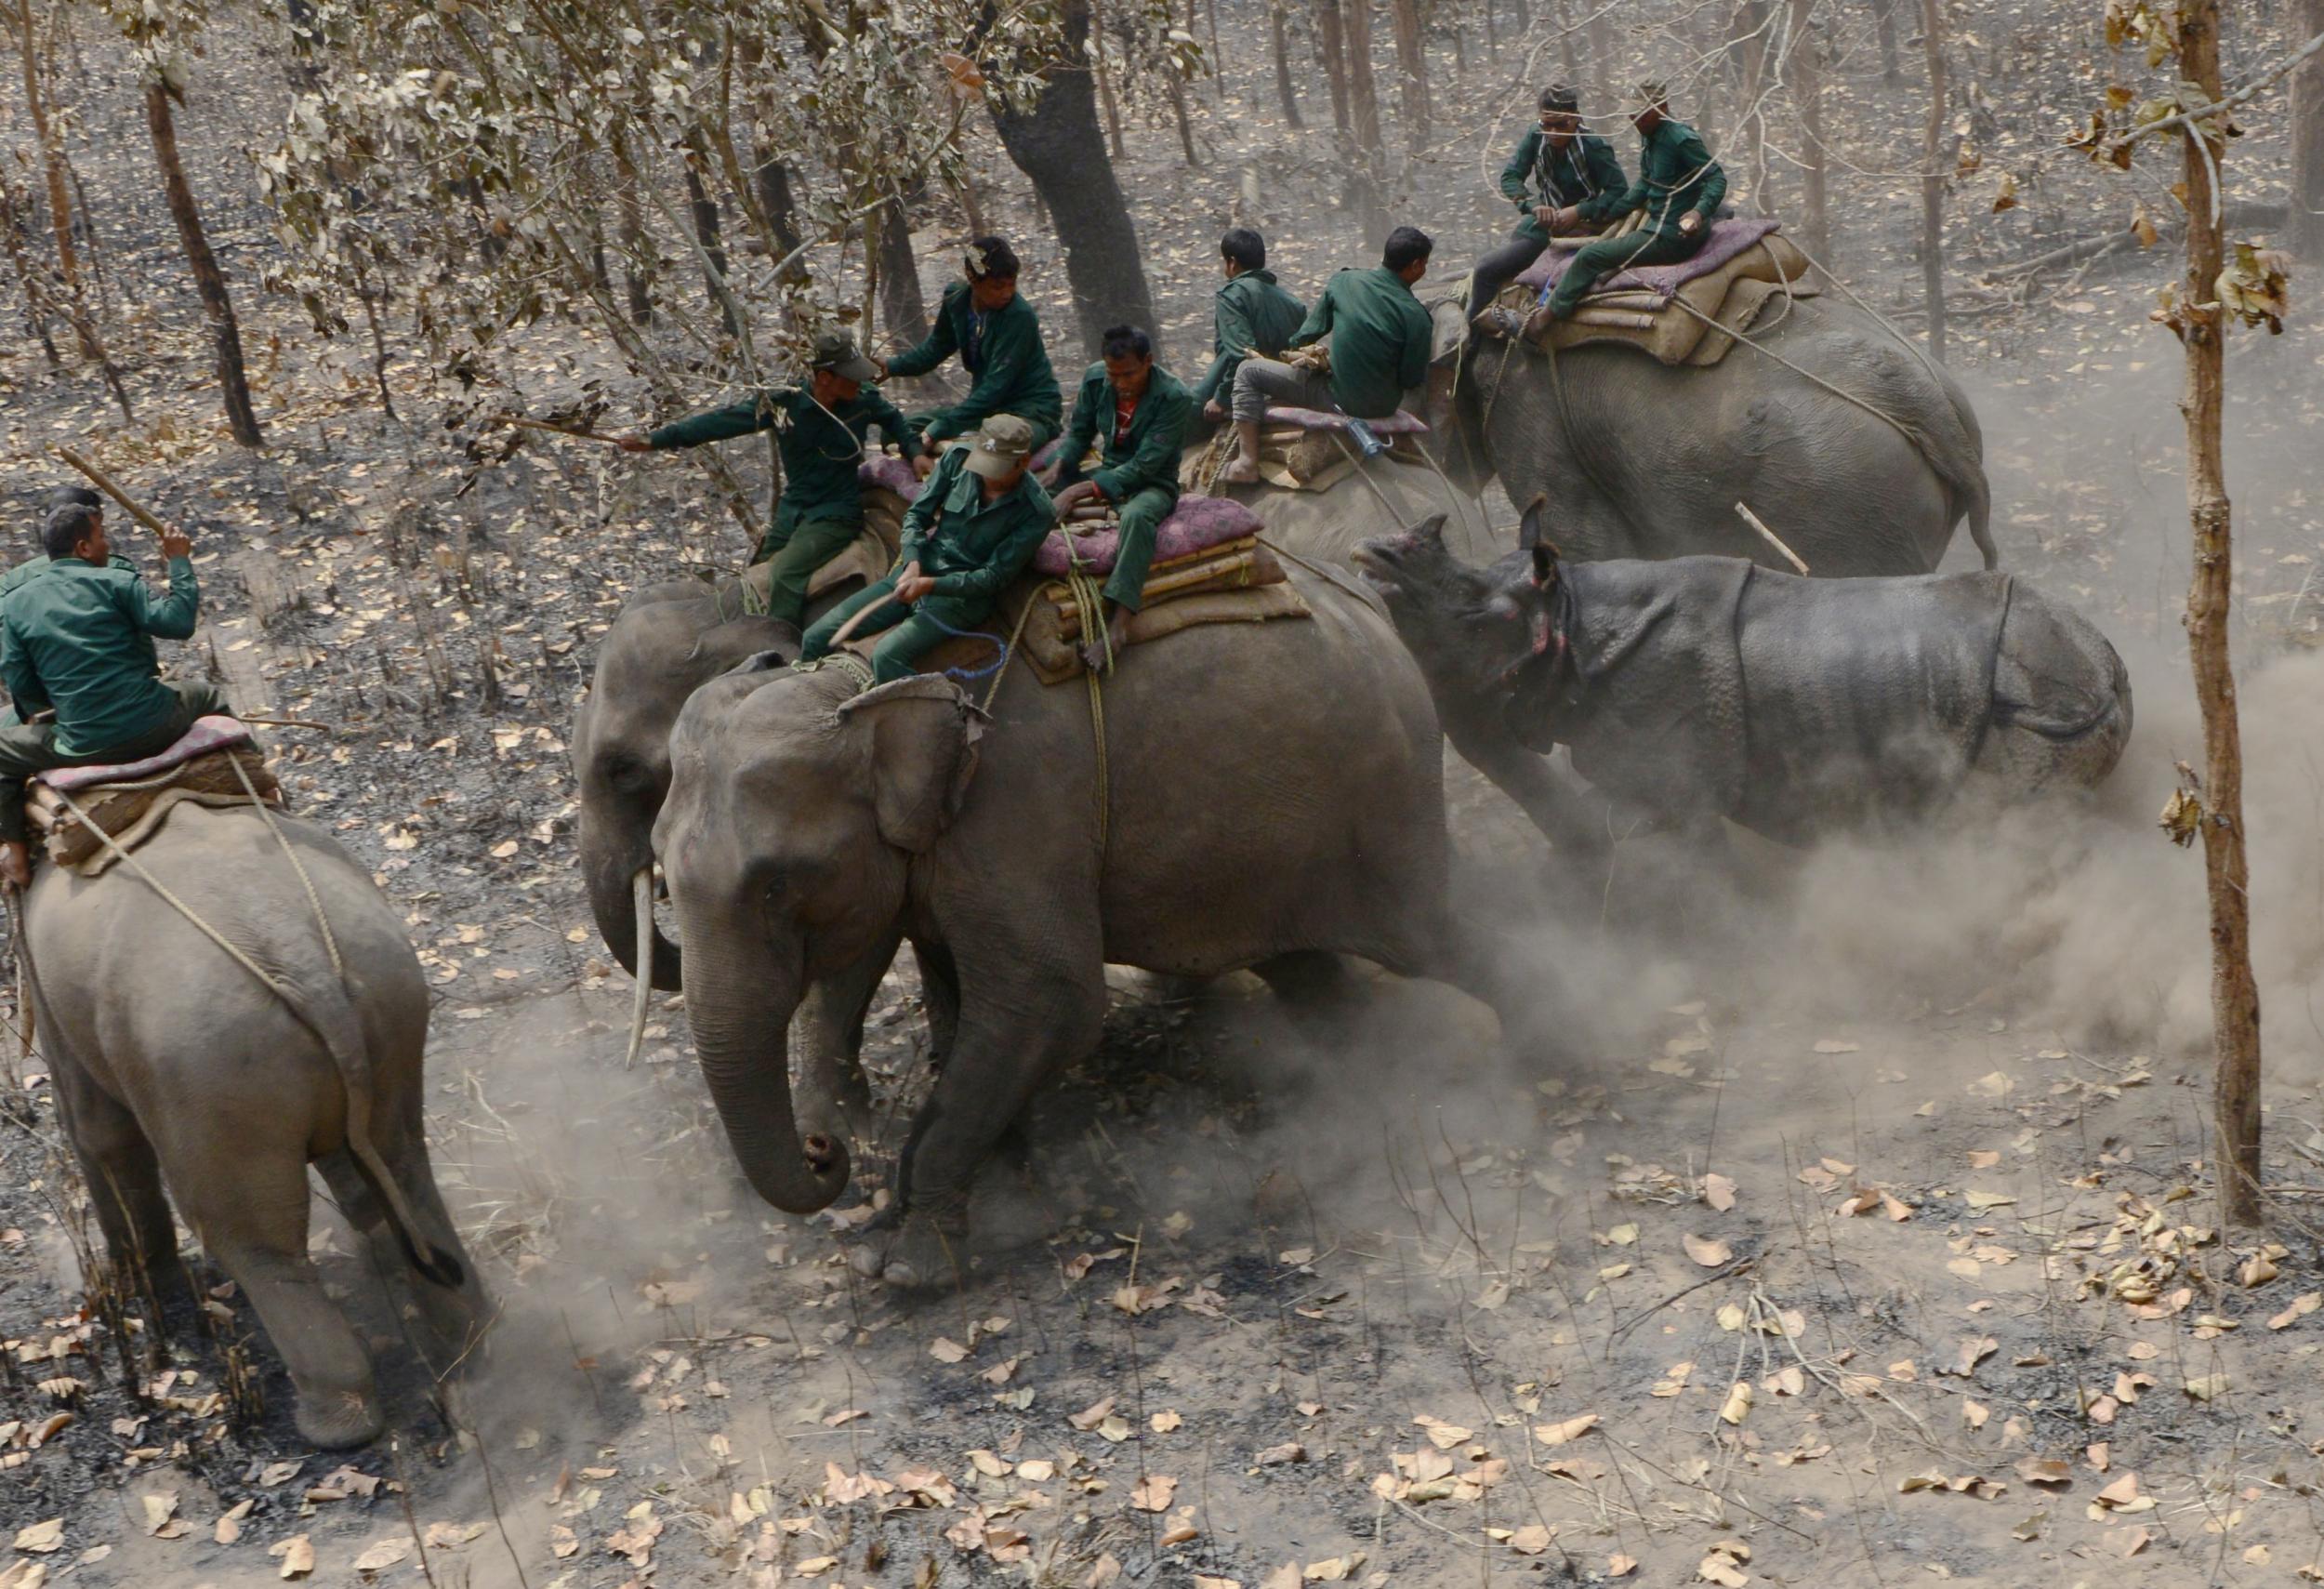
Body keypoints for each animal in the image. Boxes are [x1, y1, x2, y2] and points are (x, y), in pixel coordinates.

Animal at [23, 799, 485, 1450]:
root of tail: (302, 961)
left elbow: (98, 1131)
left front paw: (144, 1293)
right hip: (391, 1011)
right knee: (402, 1164)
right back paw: (468, 1334)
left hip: (211, 1071)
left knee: (250, 1237)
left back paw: (335, 1425)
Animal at [655, 564, 1506, 1282]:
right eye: (661, 869)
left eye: (775, 883)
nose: (824, 1148)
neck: (865, 682)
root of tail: (1364, 603)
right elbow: (966, 1007)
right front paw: (994, 1196)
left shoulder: (1018, 810)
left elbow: (1051, 1002)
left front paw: (909, 1269)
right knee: (1301, 967)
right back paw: (1356, 1093)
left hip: (1380, 790)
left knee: (1438, 934)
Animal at [1357, 518, 2129, 850]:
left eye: (1472, 613)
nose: (1373, 558)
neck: (1572, 616)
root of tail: (2112, 667)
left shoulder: (1676, 779)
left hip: (2043, 711)